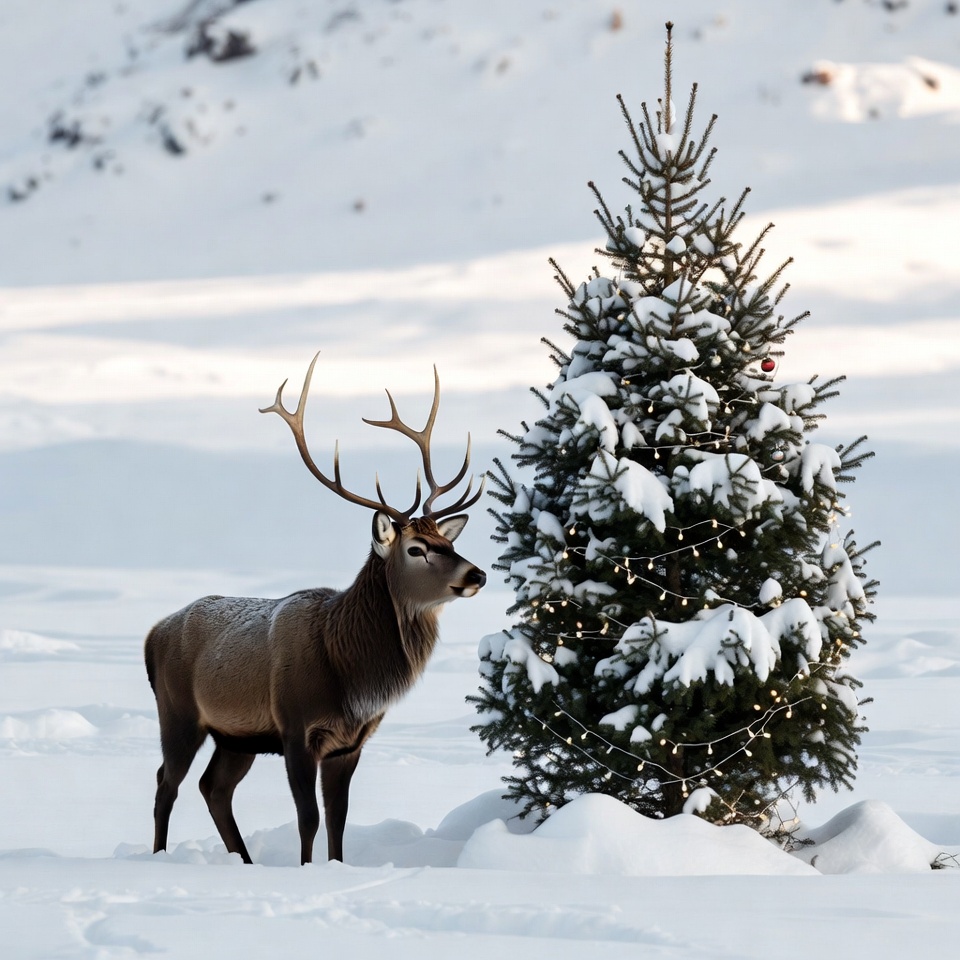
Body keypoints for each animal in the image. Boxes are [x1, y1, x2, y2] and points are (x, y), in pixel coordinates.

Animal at [144, 353, 486, 865]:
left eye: (448, 542)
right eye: (417, 549)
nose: (477, 574)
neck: (352, 676)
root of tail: (152, 636)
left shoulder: (351, 742)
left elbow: (338, 821)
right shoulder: (296, 729)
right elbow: (310, 818)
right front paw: (305, 870)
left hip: (236, 736)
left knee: (213, 788)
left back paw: (244, 861)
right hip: (178, 711)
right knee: (167, 783)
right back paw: (159, 857)